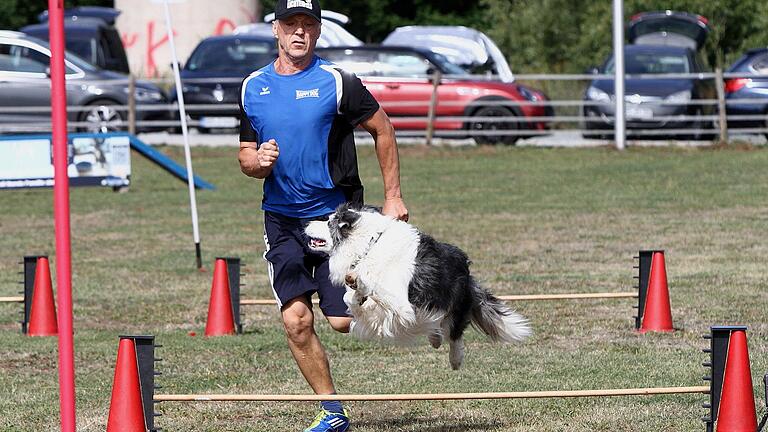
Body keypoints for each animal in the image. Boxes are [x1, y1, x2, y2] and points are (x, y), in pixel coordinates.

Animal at [304, 202, 532, 368]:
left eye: (328, 222)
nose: (306, 223)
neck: (369, 245)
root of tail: (467, 273)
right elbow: (348, 298)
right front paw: (357, 296)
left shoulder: (402, 304)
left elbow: (378, 294)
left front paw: (360, 288)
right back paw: (435, 338)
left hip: (456, 301)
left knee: (455, 333)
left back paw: (455, 359)